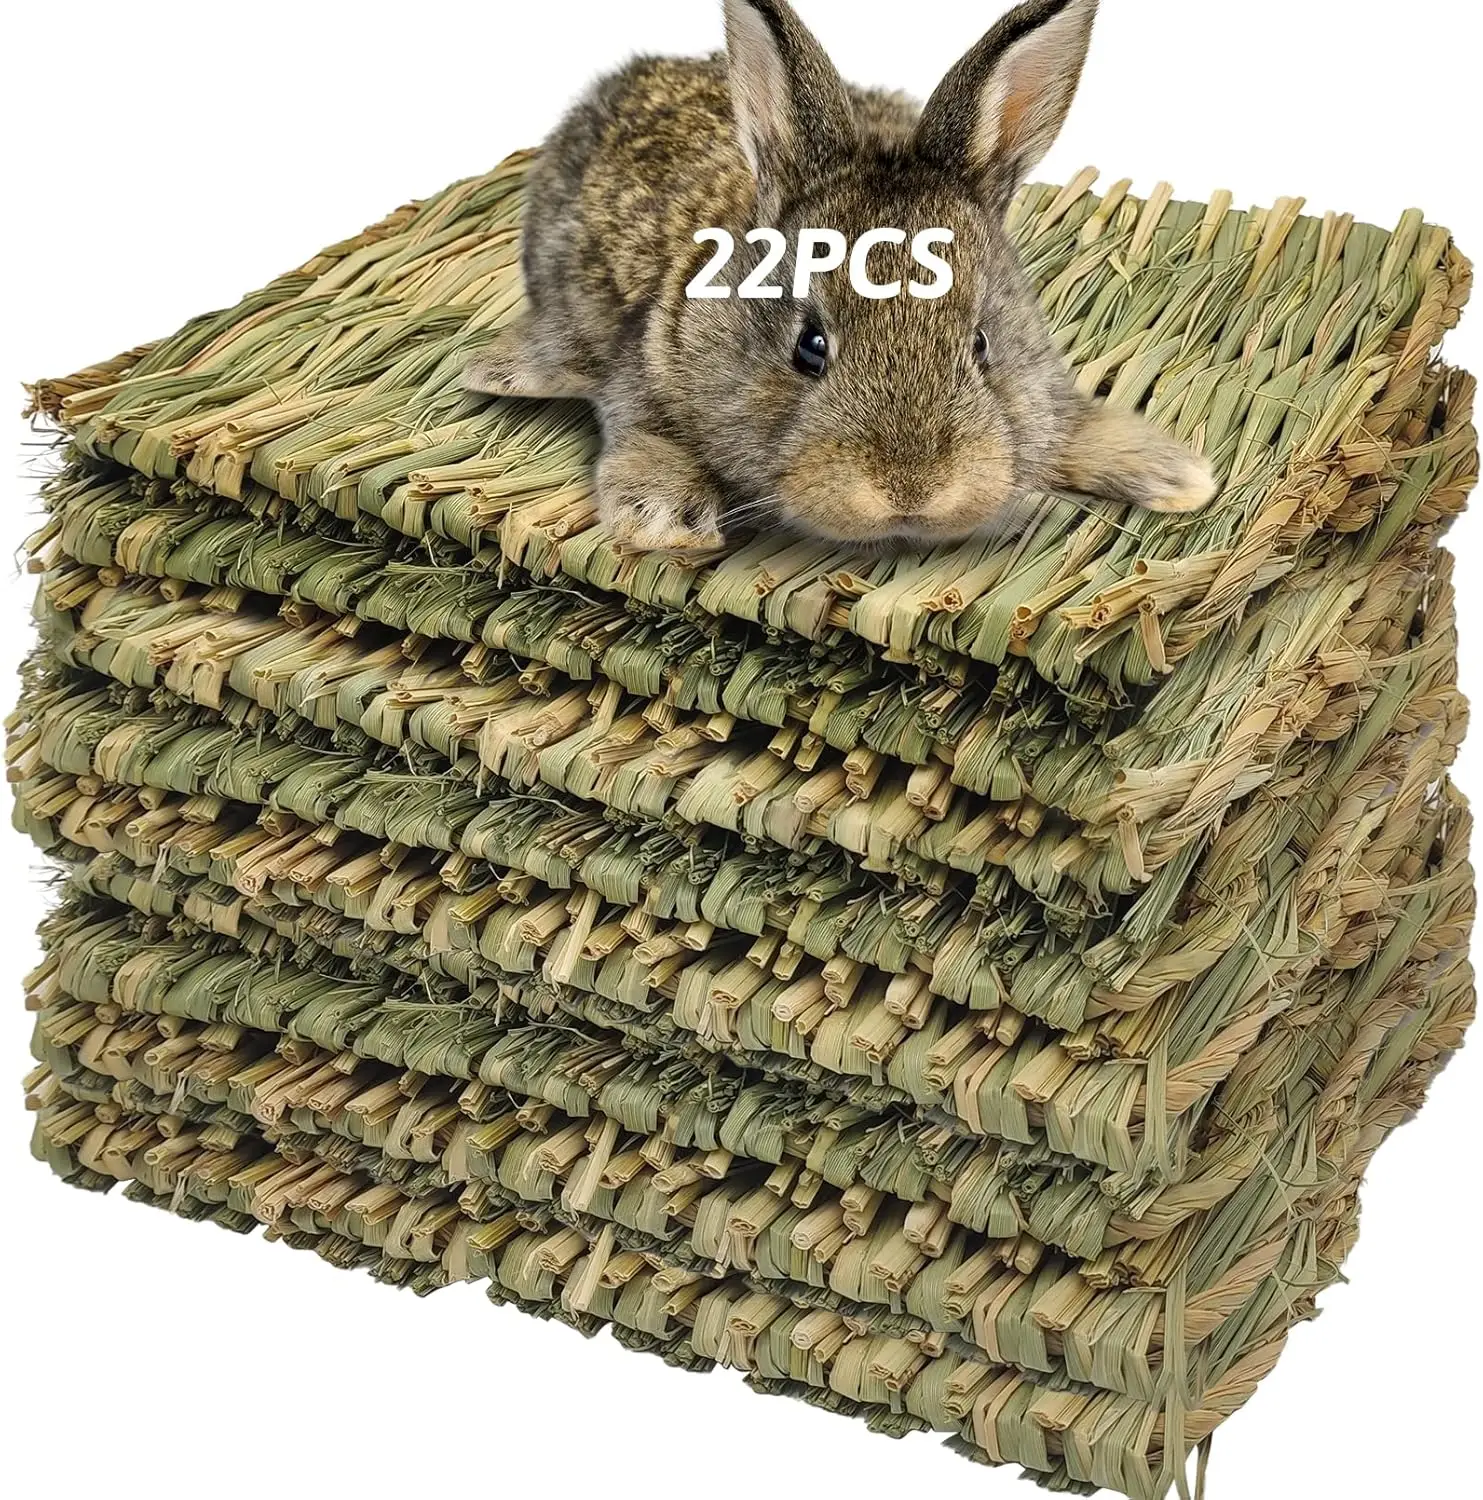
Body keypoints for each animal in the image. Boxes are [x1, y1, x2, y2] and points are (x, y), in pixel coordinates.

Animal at [465, 0, 1217, 553]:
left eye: (981, 346)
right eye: (810, 347)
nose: (911, 490)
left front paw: (1176, 474)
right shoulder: (642, 373)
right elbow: (647, 436)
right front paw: (665, 522)